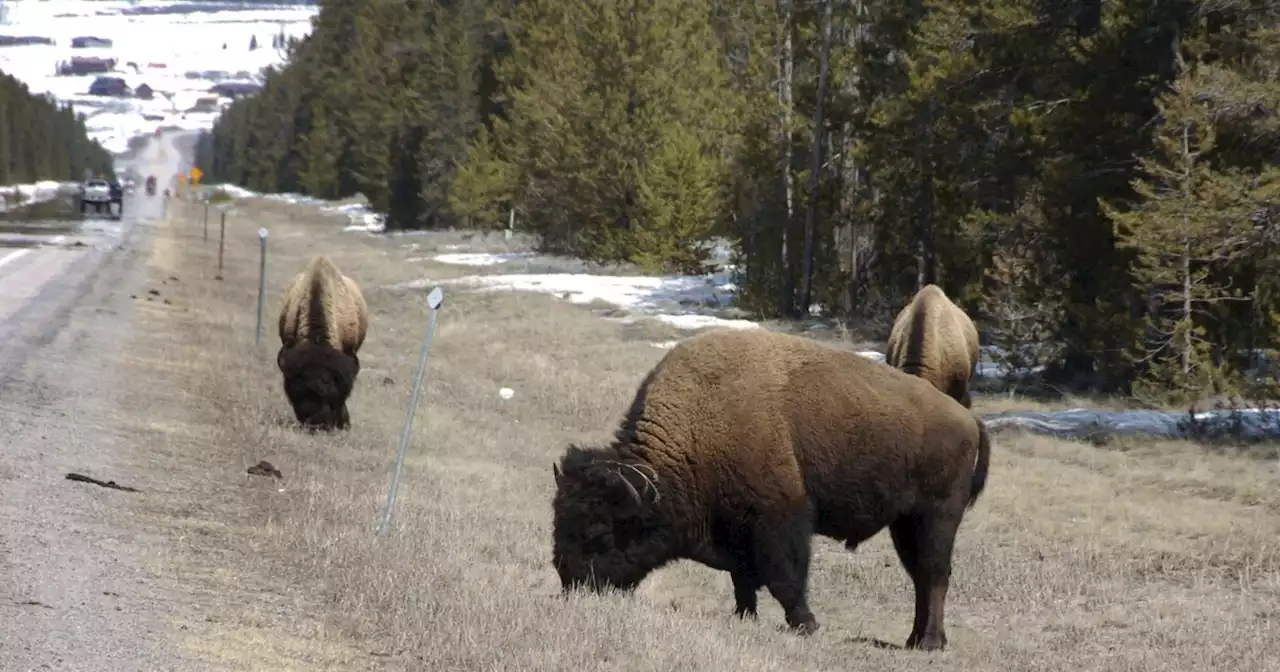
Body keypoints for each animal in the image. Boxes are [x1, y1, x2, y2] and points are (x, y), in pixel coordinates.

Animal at [547, 325, 988, 650]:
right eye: (559, 523)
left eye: (600, 533)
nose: (571, 582)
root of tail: (968, 420)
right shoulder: (737, 532)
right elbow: (743, 580)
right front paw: (745, 617)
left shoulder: (779, 520)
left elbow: (783, 577)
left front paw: (806, 624)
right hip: (904, 524)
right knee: (920, 578)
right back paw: (915, 640)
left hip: (936, 517)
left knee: (934, 575)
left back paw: (930, 643)